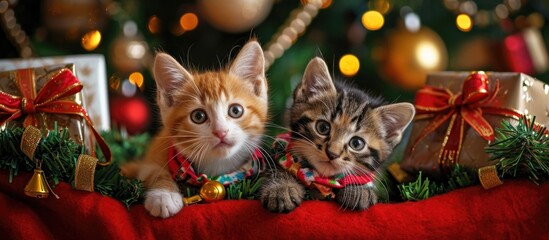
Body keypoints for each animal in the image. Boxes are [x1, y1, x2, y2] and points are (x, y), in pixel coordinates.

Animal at [124, 40, 270, 218]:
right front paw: (164, 196)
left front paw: (164, 196)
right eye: (198, 116)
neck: (217, 167)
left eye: (235, 110)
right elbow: (153, 170)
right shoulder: (152, 156)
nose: (220, 132)